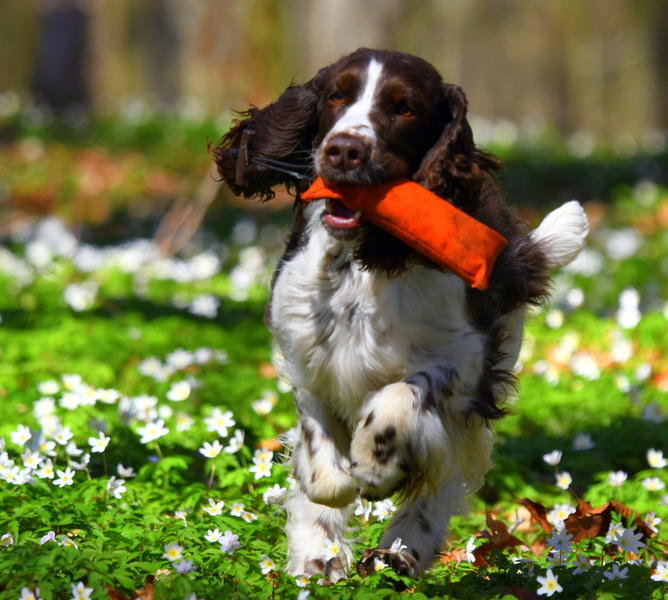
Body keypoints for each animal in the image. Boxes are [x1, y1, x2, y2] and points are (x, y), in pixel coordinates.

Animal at [210, 48, 588, 581]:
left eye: (405, 108)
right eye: (336, 95)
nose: (344, 150)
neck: (363, 260)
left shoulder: (466, 362)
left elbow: (401, 398)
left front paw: (376, 466)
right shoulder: (307, 356)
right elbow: (318, 460)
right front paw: (327, 515)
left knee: (440, 481)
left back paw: (399, 553)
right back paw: (318, 560)